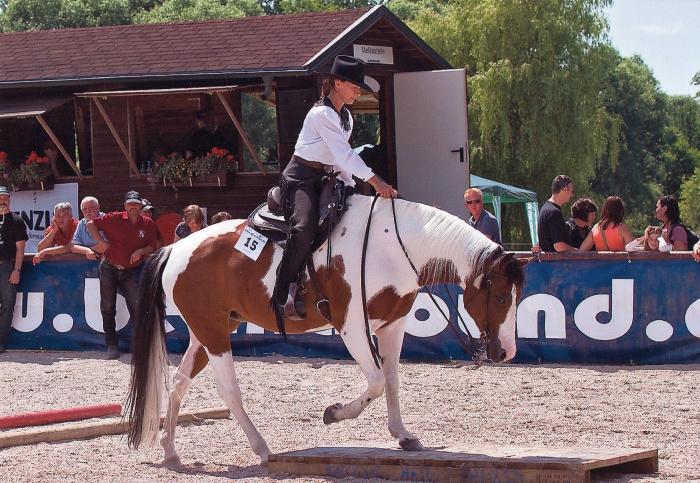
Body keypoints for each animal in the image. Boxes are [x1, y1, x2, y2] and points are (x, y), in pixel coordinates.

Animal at [126, 193, 524, 466]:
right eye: (500, 296)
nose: (507, 352)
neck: (393, 246)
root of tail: (175, 248)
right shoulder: (352, 326)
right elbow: (376, 382)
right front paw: (334, 413)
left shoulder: (393, 324)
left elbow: (392, 381)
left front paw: (403, 436)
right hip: (214, 335)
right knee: (228, 391)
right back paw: (261, 448)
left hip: (207, 331)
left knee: (178, 383)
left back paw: (170, 451)